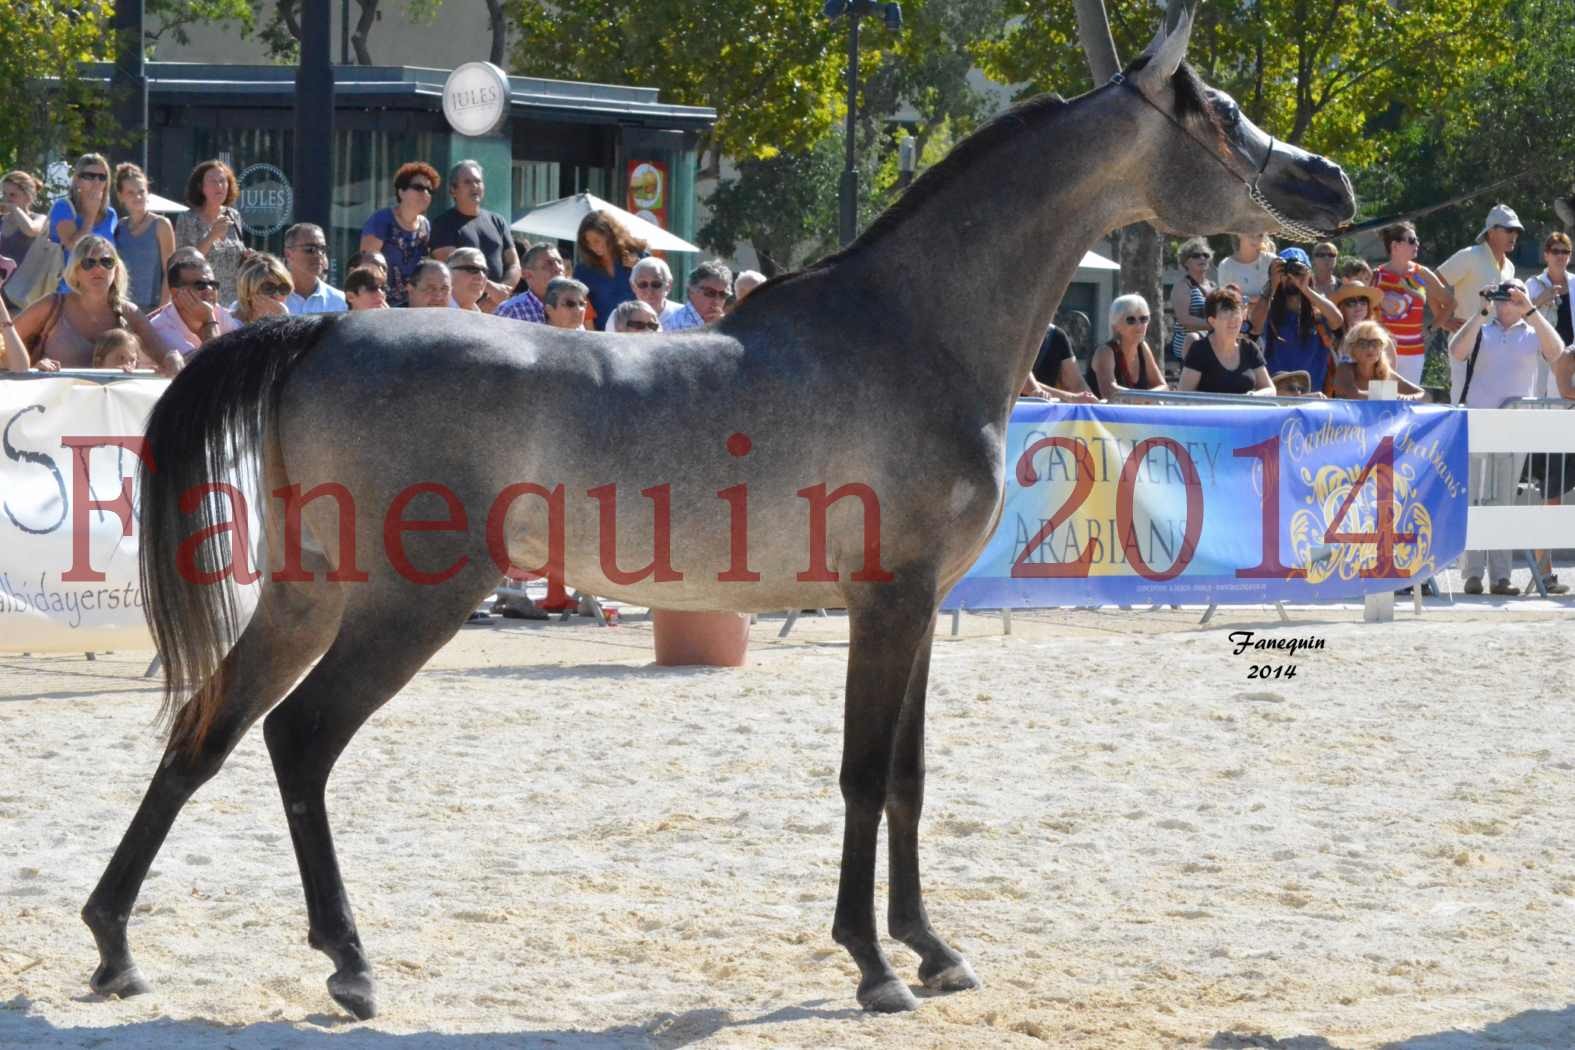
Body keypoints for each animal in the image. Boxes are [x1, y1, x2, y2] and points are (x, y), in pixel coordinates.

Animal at [83, 0, 1354, 1020]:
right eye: (1220, 109)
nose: (1329, 183)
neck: (913, 330)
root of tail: (327, 330)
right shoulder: (888, 602)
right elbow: (863, 774)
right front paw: (873, 966)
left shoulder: (918, 610)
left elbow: (908, 777)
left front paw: (934, 949)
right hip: (411, 602)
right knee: (298, 740)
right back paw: (348, 963)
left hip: (305, 595)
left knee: (207, 729)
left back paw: (115, 947)